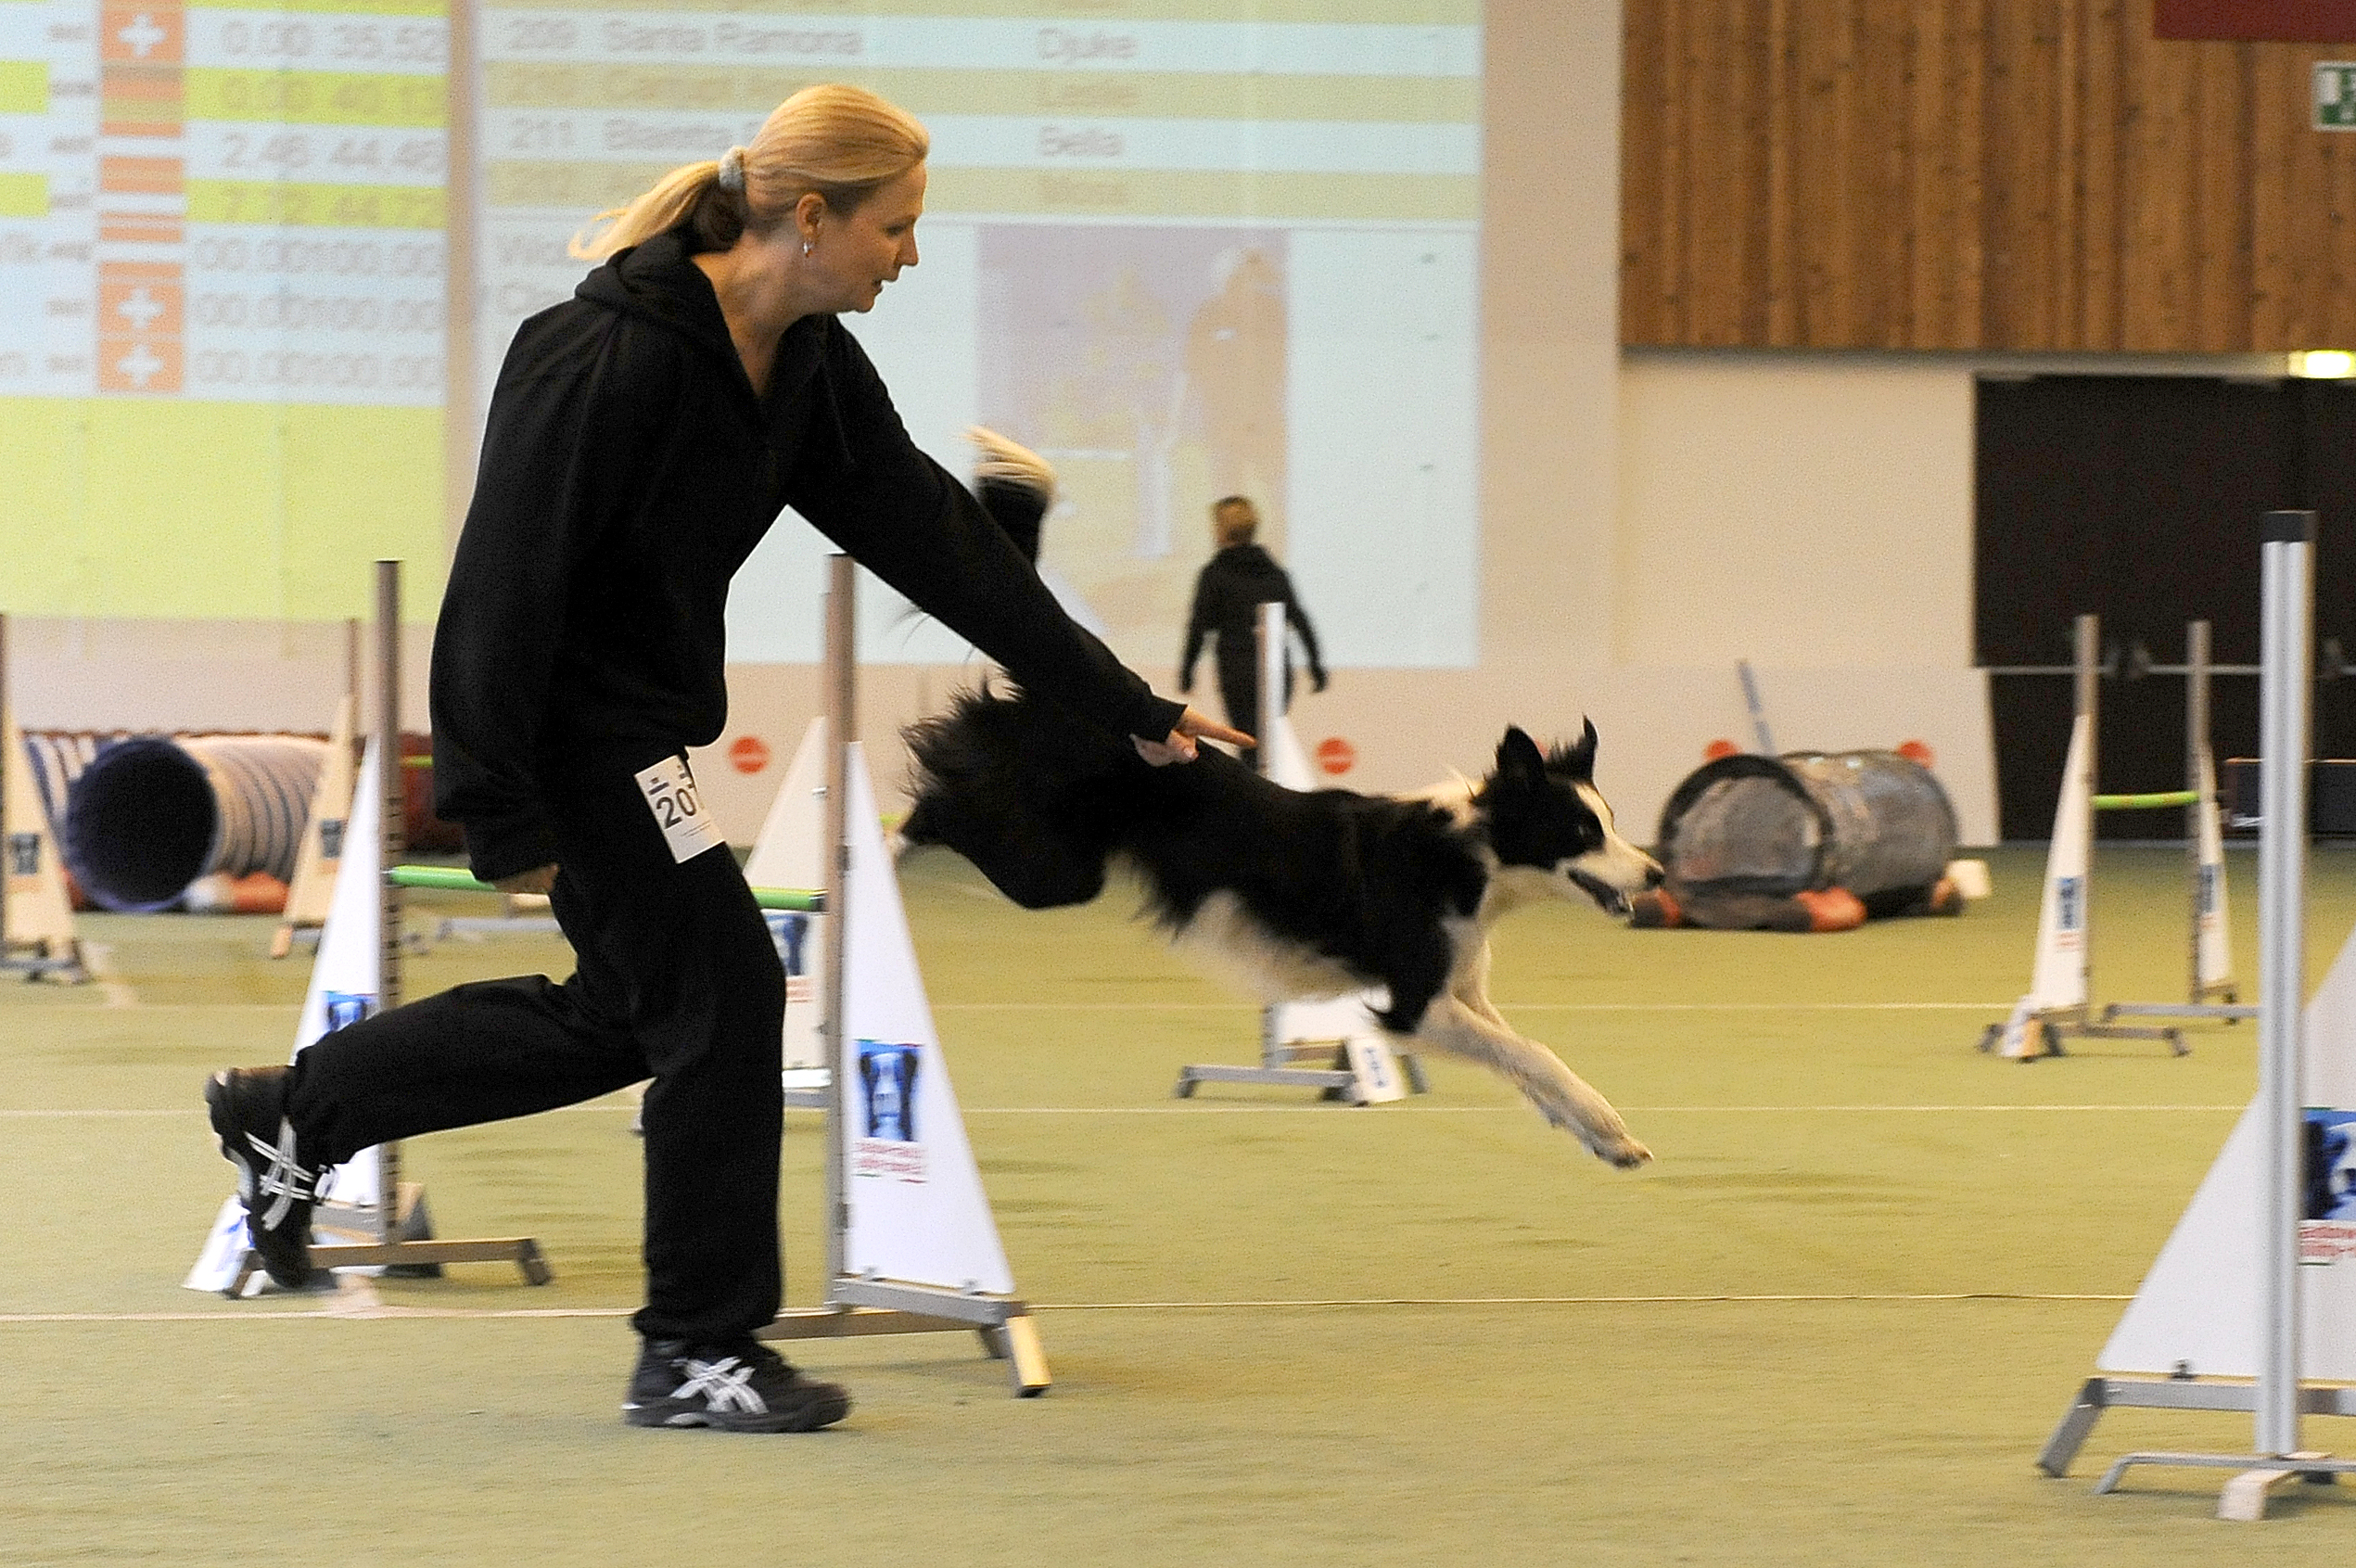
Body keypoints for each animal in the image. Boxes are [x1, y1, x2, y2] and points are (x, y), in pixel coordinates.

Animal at [907, 433, 1660, 1168]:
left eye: (1612, 822)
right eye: (1579, 830)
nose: (1656, 874)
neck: (1472, 856)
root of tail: (1061, 697)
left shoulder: (1460, 988)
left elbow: (1523, 1058)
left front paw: (1599, 1135)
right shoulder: (1413, 1001)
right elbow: (1532, 1051)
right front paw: (1603, 1122)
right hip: (1053, 864)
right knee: (941, 791)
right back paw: (890, 842)